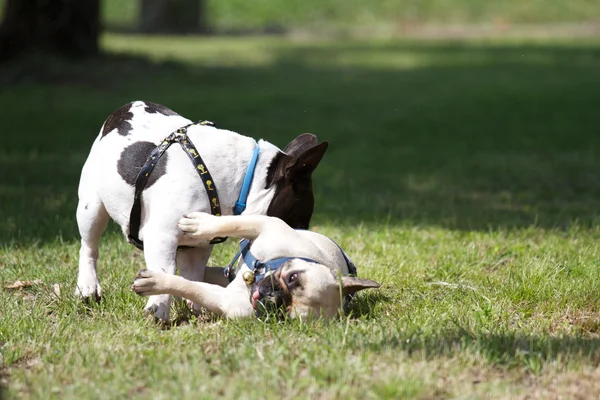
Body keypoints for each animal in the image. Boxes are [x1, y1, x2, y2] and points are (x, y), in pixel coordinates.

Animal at [76, 101, 328, 322]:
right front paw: (158, 309)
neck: (244, 180)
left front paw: (194, 309)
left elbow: (192, 276)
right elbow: (165, 268)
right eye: (297, 221)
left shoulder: (196, 247)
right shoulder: (161, 235)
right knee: (89, 246)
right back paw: (88, 286)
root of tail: (125, 108)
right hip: (91, 207)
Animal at [131, 212, 380, 318]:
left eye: (283, 315)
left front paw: (156, 282)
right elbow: (230, 223)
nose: (273, 298)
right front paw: (200, 224)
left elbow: (190, 287)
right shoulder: (266, 225)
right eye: (293, 278)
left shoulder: (226, 302)